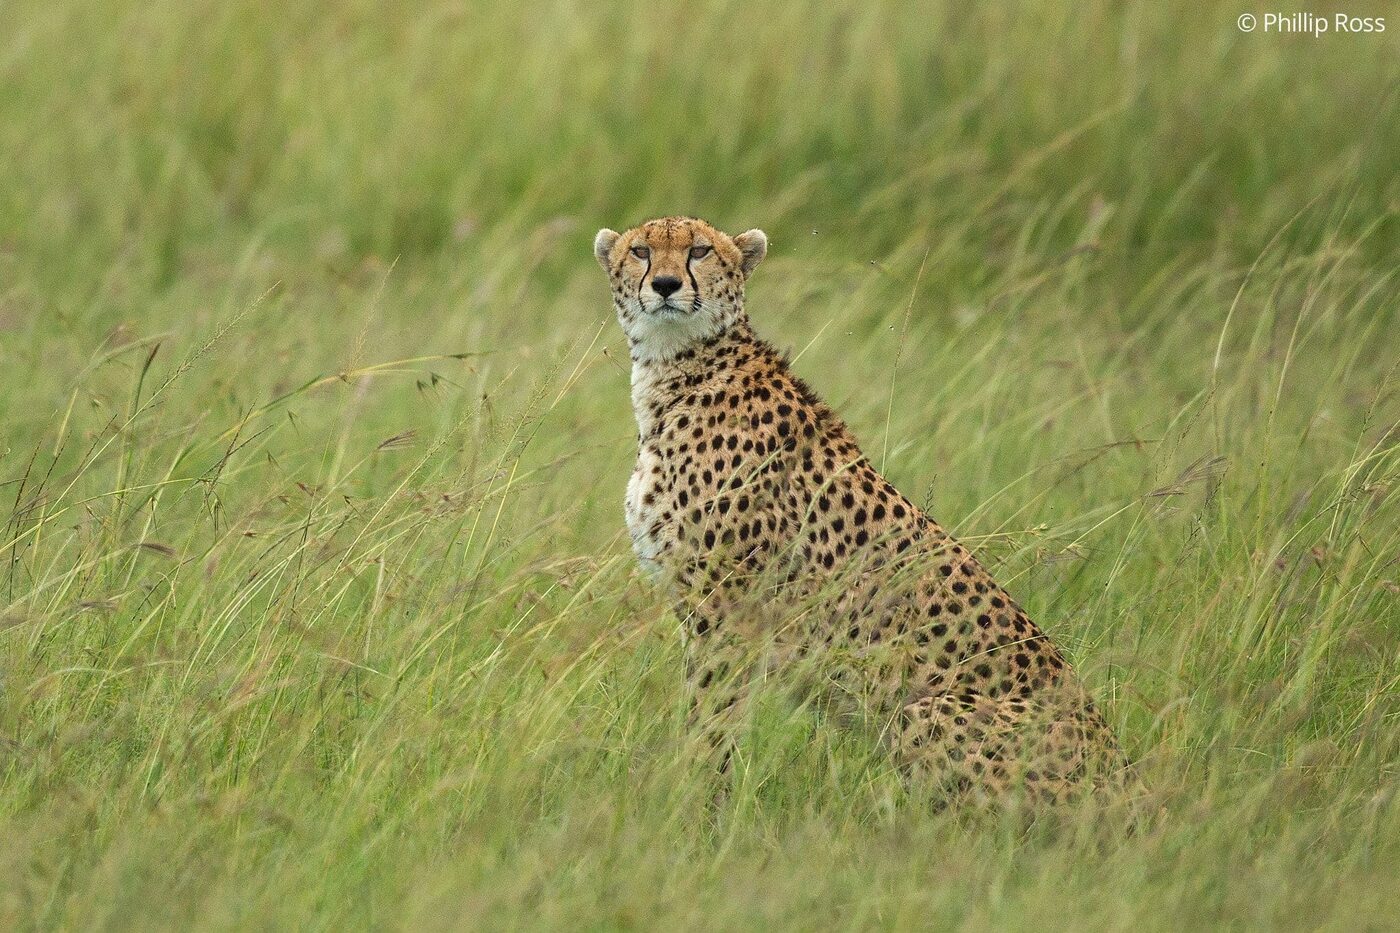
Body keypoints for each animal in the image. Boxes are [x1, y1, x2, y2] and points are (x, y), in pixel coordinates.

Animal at [594, 215, 1136, 807]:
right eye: (641, 251)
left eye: (699, 252)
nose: (666, 285)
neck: (678, 367)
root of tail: (1130, 777)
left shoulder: (726, 613)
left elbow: (708, 722)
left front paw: (686, 797)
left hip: (924, 711)